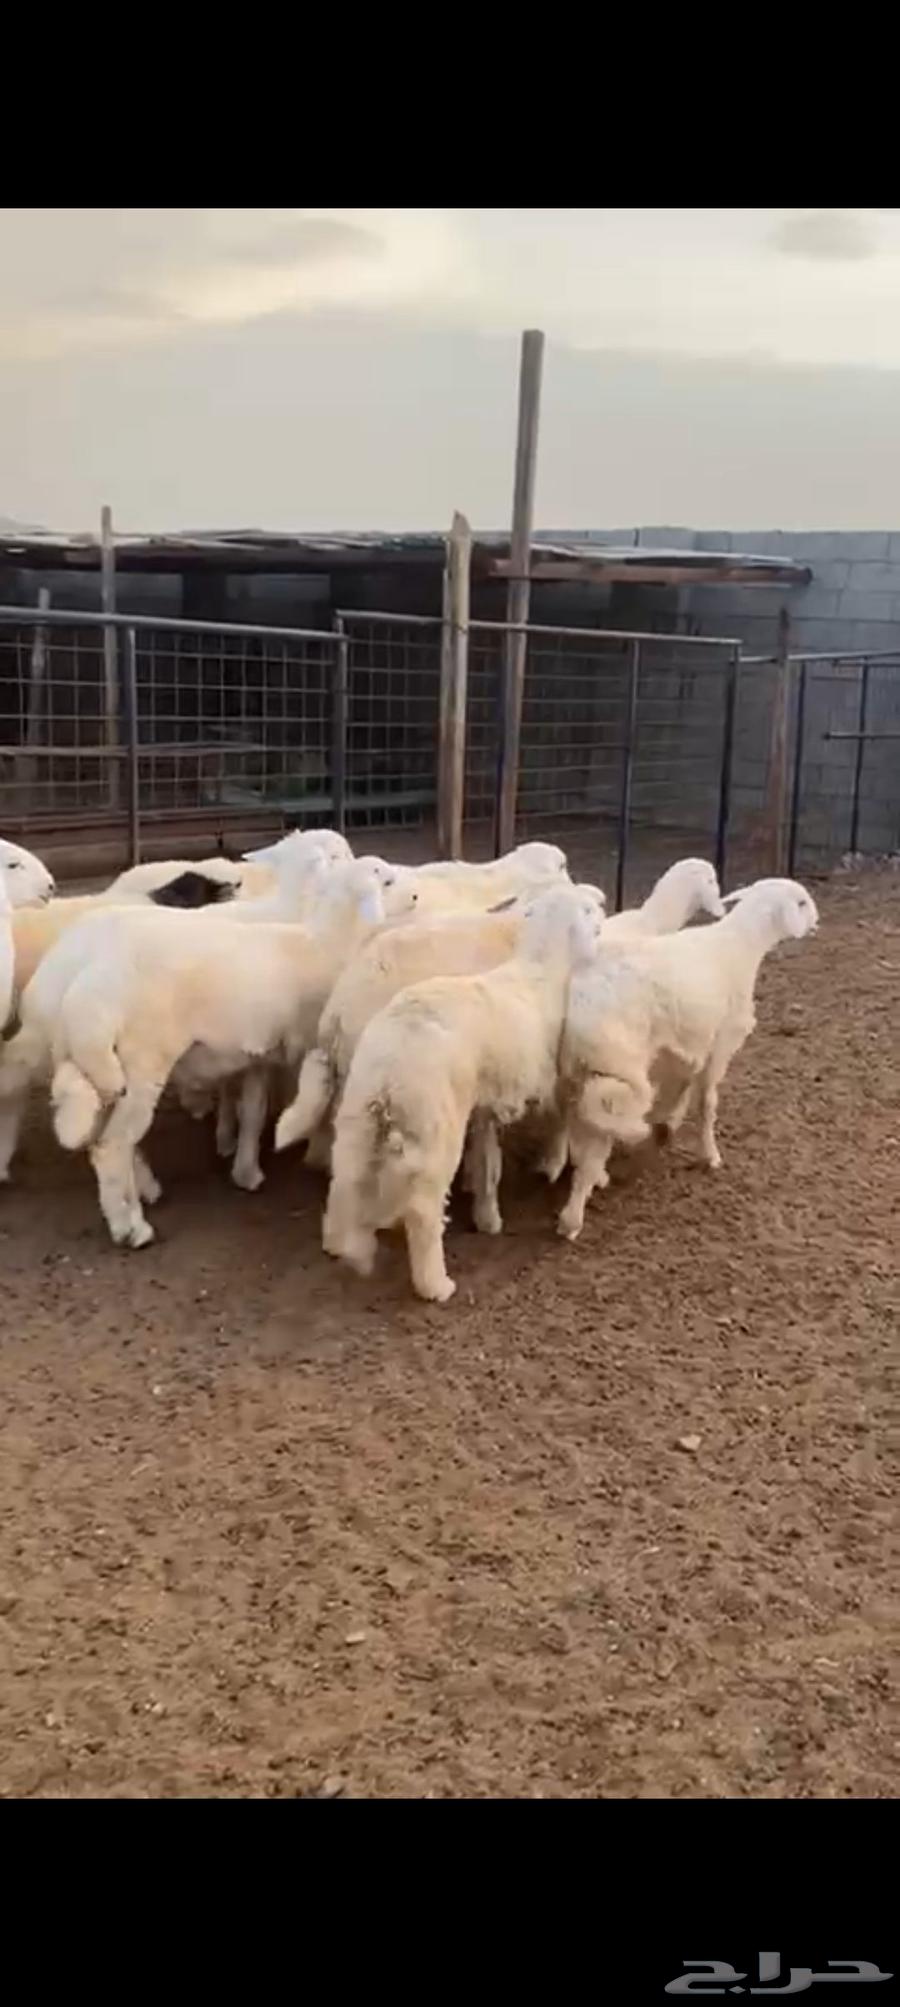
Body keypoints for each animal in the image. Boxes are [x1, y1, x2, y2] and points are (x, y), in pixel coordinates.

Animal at [0, 857, 417, 1237]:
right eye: (387, 881)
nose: (416, 895)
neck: (325, 942)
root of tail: (86, 990)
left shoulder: (258, 1056)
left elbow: (253, 1113)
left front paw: (246, 1170)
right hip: (141, 1064)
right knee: (111, 1146)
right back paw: (131, 1227)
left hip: (100, 1069)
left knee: (106, 1138)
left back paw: (142, 1192)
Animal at [321, 882, 605, 1304]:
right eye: (588, 909)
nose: (603, 905)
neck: (538, 969)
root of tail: (391, 1066)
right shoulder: (546, 1077)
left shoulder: (485, 1105)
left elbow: (489, 1162)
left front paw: (488, 1216)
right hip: (435, 1124)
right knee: (423, 1208)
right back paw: (435, 1284)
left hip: (358, 1114)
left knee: (345, 1178)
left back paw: (341, 1243)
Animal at [554, 876, 820, 1242]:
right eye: (802, 903)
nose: (816, 922)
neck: (741, 946)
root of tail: (581, 1002)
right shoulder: (721, 1042)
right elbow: (707, 1101)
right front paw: (711, 1155)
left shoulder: (689, 1044)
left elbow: (683, 1085)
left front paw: (669, 1124)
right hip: (616, 1074)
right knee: (595, 1140)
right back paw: (573, 1218)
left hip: (577, 1074)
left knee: (579, 1135)